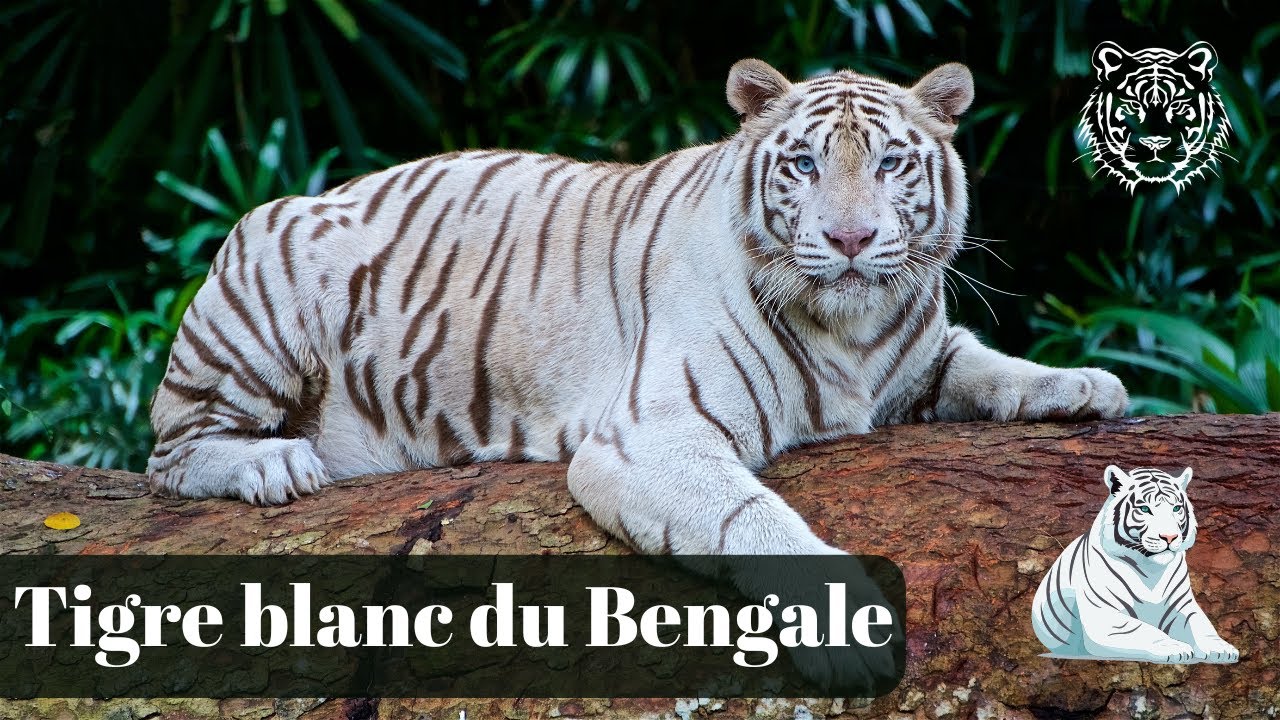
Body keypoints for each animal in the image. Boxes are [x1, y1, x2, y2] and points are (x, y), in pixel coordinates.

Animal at [147, 58, 1130, 560]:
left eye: (889, 163)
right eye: (804, 163)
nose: (850, 240)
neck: (852, 331)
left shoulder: (919, 355)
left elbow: (986, 363)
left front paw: (1086, 385)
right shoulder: (654, 437)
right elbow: (751, 520)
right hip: (265, 289)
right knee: (171, 454)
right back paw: (274, 466)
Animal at [1032, 465, 1238, 664]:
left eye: (1176, 508)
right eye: (1145, 509)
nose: (1170, 537)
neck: (1151, 569)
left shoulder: (1183, 606)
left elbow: (1202, 626)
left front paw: (1222, 649)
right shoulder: (1105, 615)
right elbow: (1143, 630)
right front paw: (1174, 647)